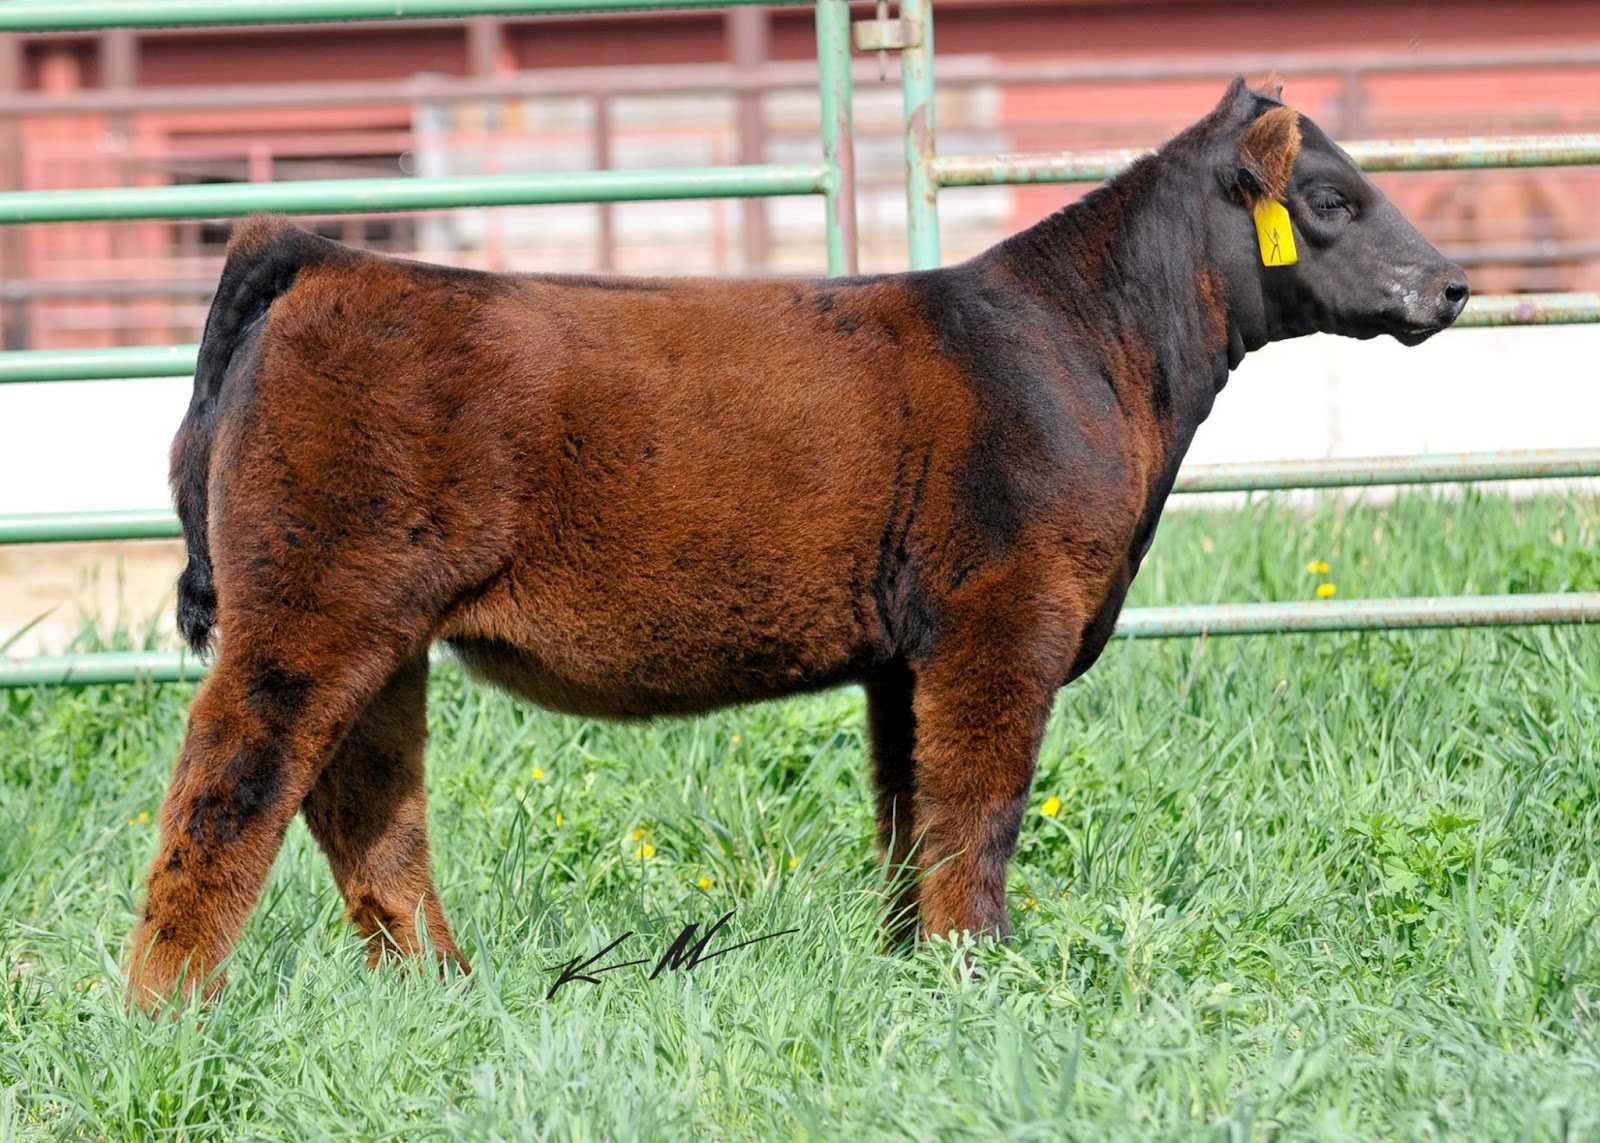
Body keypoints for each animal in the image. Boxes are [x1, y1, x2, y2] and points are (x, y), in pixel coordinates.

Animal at [128, 77, 1468, 1006]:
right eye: (1333, 201)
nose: (1451, 283)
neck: (1095, 353)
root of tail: (330, 256)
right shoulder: (1003, 616)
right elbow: (979, 804)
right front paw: (982, 970)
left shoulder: (904, 656)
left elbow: (909, 810)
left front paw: (911, 966)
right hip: (312, 611)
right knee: (229, 786)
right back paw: (169, 1011)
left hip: (380, 628)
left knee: (368, 804)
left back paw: (442, 992)